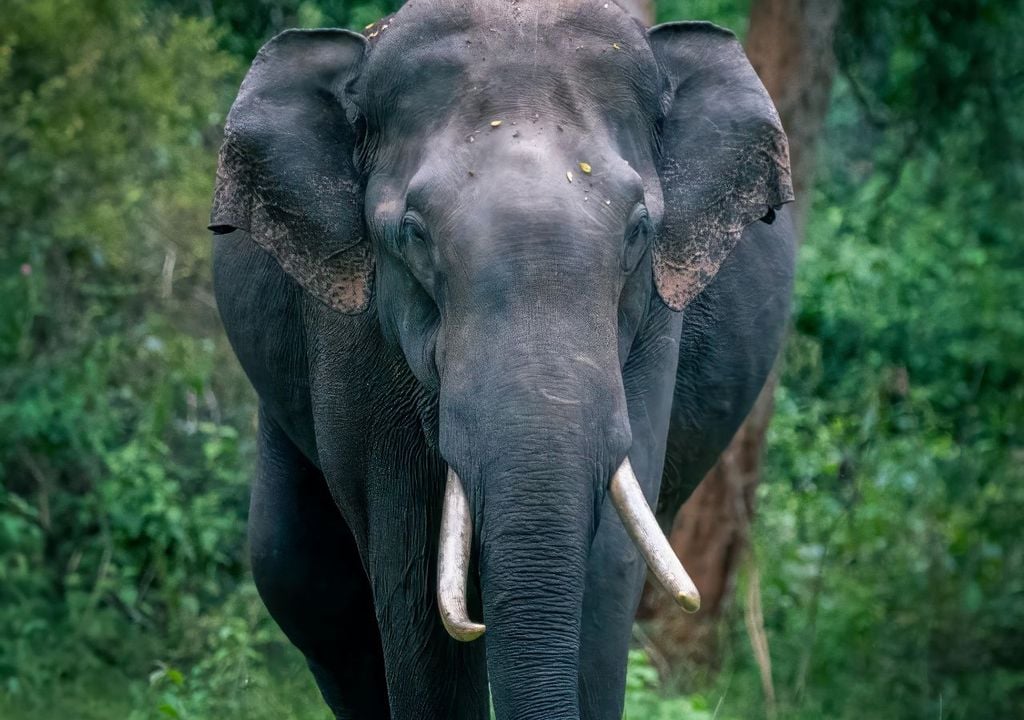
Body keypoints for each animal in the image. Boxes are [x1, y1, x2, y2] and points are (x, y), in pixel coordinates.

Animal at [208, 1, 794, 718]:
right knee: (301, 579)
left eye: (638, 230)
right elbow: (410, 567)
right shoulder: (352, 330)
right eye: (413, 235)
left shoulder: (657, 321)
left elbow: (607, 564)